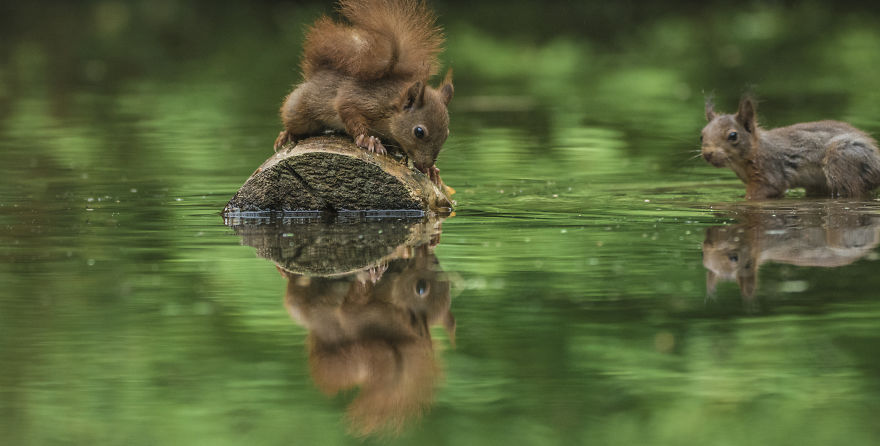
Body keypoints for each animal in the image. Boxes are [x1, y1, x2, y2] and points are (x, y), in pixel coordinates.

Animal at [274, 0, 454, 184]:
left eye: (447, 133)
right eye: (419, 132)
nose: (426, 163)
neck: (390, 103)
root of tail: (316, 75)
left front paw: (431, 170)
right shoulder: (358, 99)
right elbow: (348, 113)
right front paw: (368, 140)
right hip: (299, 112)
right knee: (294, 122)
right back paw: (285, 135)